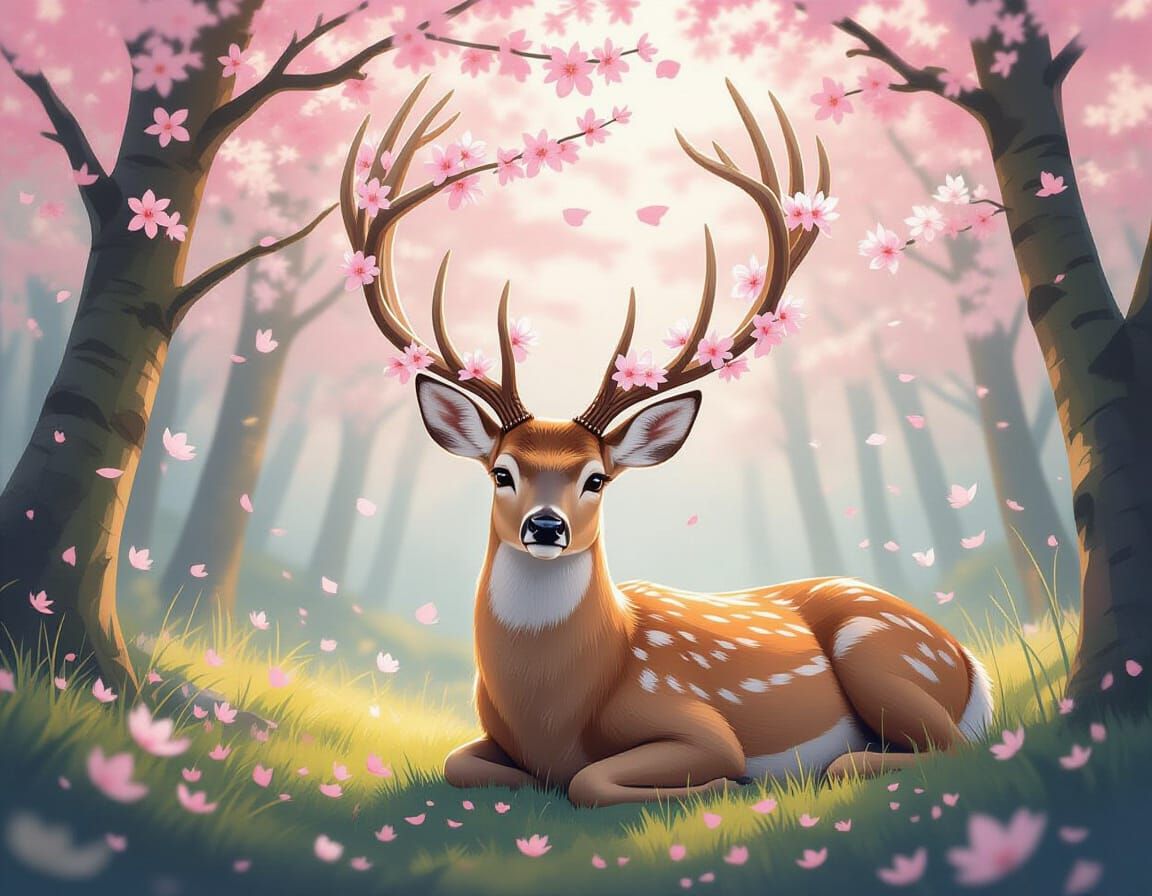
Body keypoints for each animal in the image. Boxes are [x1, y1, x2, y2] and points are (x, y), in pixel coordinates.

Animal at [339, 79, 994, 808]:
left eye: (596, 477)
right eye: (501, 472)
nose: (546, 526)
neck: (556, 709)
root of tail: (969, 662)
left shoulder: (694, 719)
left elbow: (592, 781)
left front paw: (724, 782)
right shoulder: (490, 741)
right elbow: (462, 763)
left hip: (878, 653)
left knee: (941, 749)